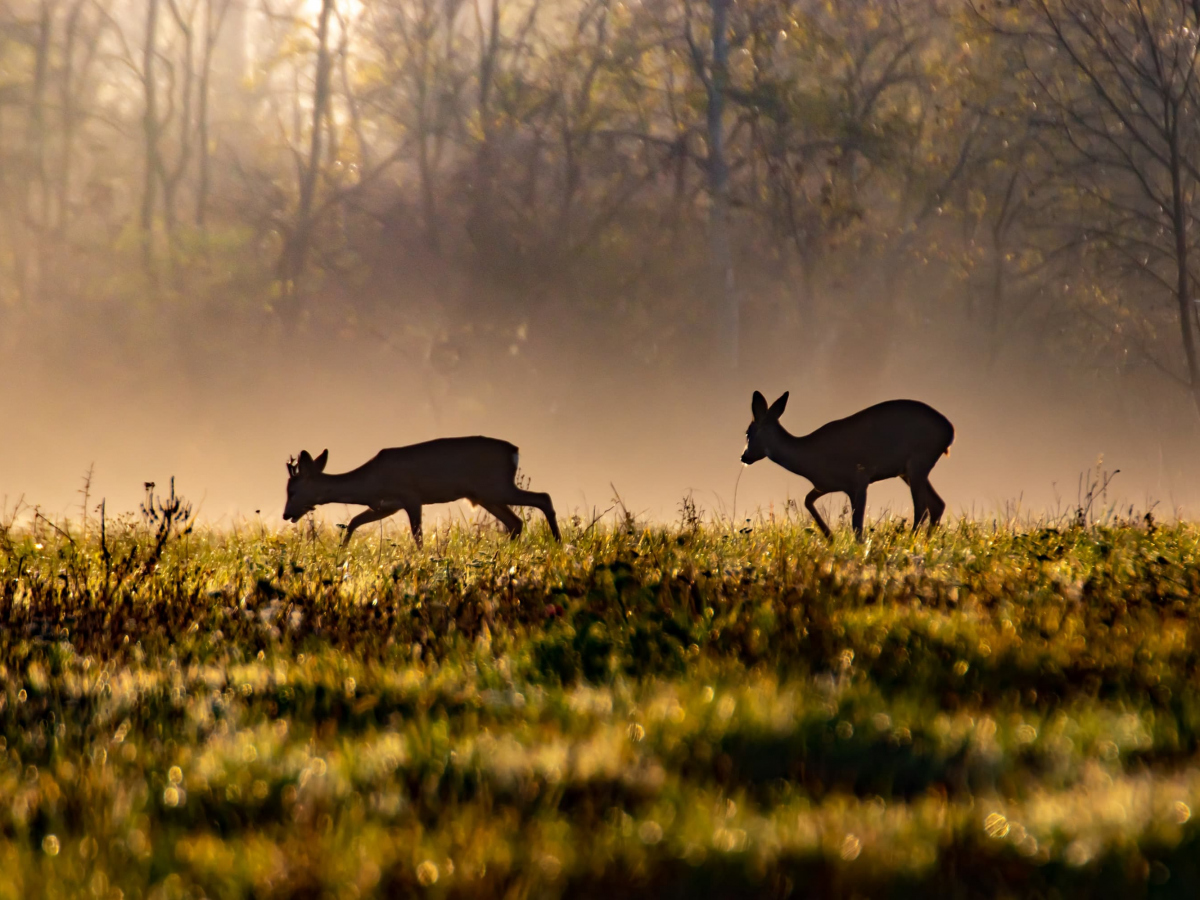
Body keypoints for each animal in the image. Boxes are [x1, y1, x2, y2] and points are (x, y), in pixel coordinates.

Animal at [283, 439, 559, 547]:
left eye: (292, 491)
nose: (286, 515)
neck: (370, 481)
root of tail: (514, 451)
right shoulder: (386, 505)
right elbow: (354, 521)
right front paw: (342, 550)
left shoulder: (411, 497)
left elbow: (418, 536)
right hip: (487, 496)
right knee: (515, 522)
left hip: (497, 487)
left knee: (543, 498)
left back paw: (557, 543)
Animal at [739, 388, 955, 542]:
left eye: (748, 432)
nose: (744, 456)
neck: (807, 456)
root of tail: (950, 431)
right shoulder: (825, 485)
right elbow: (808, 501)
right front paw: (830, 537)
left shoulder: (859, 479)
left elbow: (856, 525)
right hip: (909, 471)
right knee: (937, 504)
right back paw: (925, 543)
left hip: (919, 461)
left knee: (922, 508)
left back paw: (910, 543)